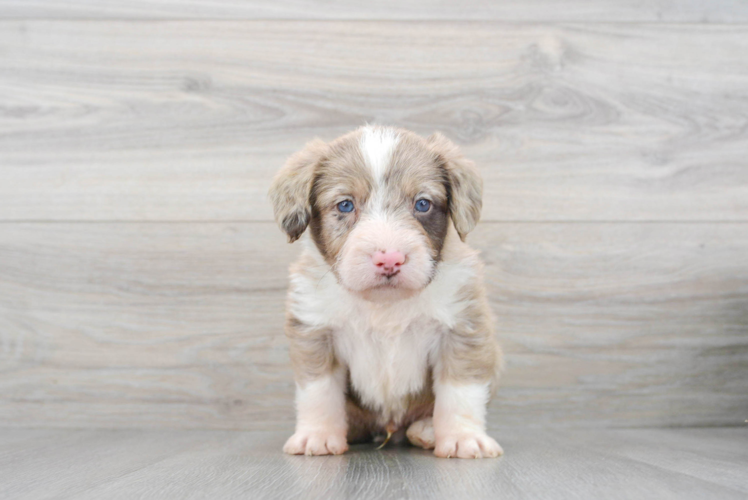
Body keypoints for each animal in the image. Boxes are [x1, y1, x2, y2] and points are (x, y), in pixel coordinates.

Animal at [268, 126, 502, 460]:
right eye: (345, 205)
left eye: (422, 204)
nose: (390, 259)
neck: (384, 305)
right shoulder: (316, 332)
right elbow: (319, 392)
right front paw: (318, 435)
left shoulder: (462, 329)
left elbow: (461, 392)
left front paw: (463, 437)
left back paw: (427, 430)